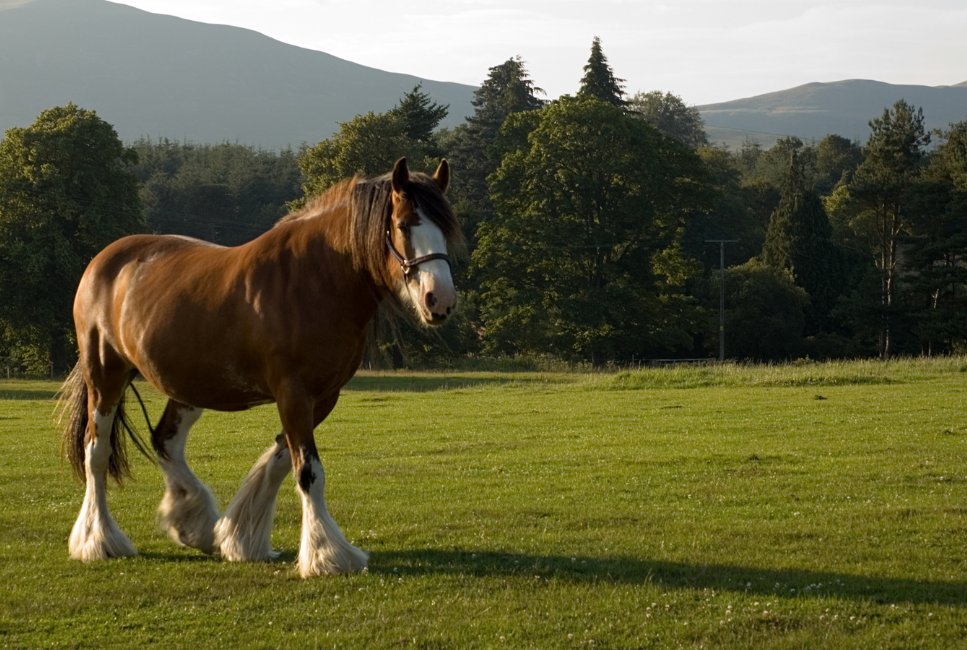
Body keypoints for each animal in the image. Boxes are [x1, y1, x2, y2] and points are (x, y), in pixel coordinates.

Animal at [58, 158, 461, 577]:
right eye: (404, 225)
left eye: (447, 228)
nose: (440, 300)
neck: (316, 279)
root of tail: (103, 260)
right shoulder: (293, 394)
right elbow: (308, 472)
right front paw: (327, 554)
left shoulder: (322, 398)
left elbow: (282, 460)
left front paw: (241, 536)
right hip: (106, 378)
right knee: (96, 452)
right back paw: (99, 540)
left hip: (188, 387)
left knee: (165, 440)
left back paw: (194, 523)